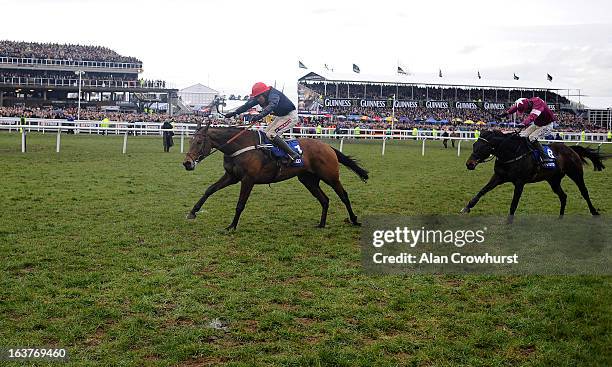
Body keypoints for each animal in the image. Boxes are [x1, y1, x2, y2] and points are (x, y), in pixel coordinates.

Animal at [179, 121, 366, 230]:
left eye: (199, 142)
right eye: (190, 141)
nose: (187, 163)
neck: (239, 146)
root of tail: (327, 146)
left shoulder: (248, 179)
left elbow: (240, 204)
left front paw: (232, 225)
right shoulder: (232, 176)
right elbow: (209, 190)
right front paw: (193, 212)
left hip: (331, 176)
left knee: (343, 195)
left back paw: (354, 219)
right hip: (308, 180)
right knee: (324, 199)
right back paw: (321, 224)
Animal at [464, 131, 608, 220]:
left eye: (482, 147)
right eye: (474, 145)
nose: (469, 164)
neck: (511, 153)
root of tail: (571, 149)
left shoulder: (519, 182)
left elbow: (514, 204)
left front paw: (508, 223)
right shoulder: (499, 177)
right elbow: (482, 191)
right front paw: (467, 208)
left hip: (576, 173)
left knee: (584, 192)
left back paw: (594, 212)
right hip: (554, 180)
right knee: (563, 196)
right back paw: (560, 217)